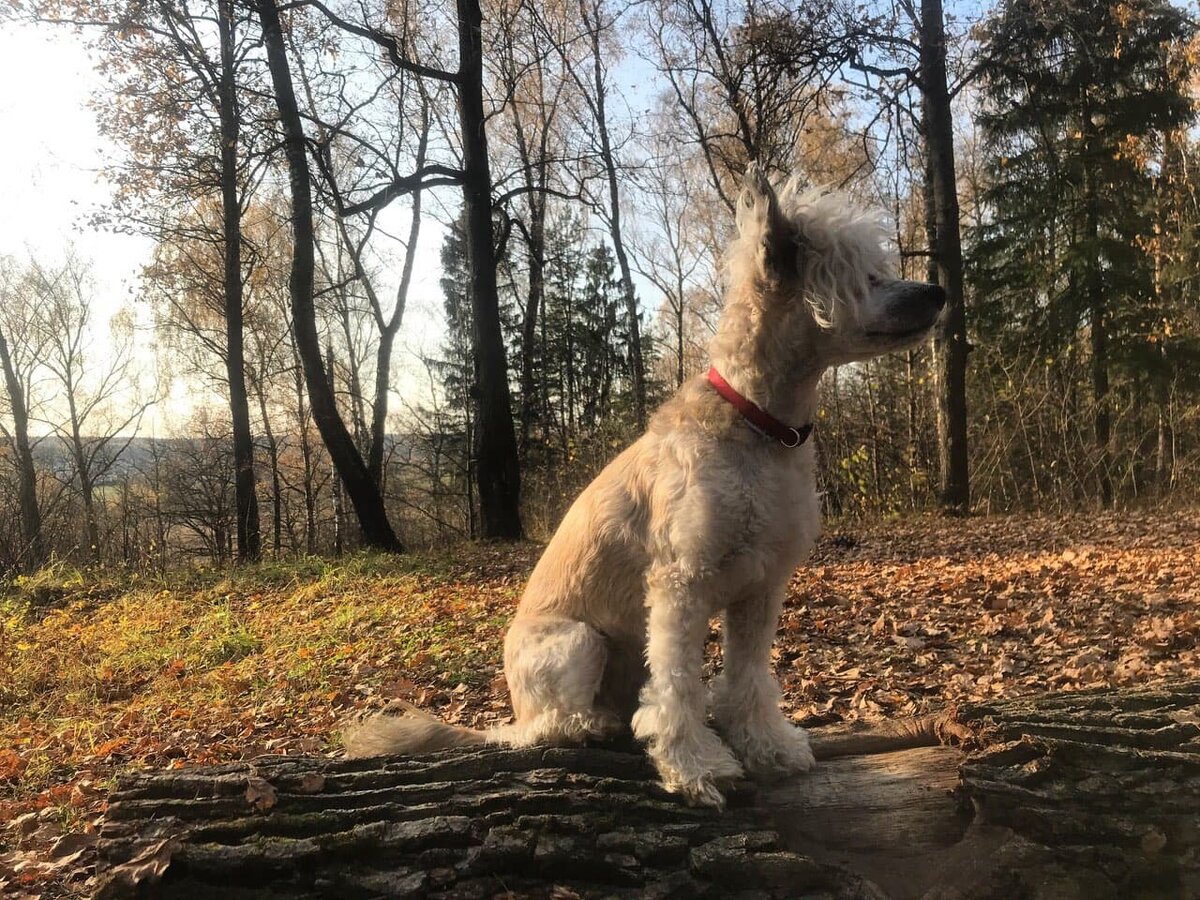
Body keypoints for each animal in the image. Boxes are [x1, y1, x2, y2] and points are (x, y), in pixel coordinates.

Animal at [345, 162, 945, 811]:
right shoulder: (681, 586)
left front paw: (766, 746)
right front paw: (695, 766)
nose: (937, 292)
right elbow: (678, 687)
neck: (758, 426)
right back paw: (587, 725)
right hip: (580, 641)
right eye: (865, 275)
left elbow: (748, 678)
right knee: (543, 728)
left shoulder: (761, 590)